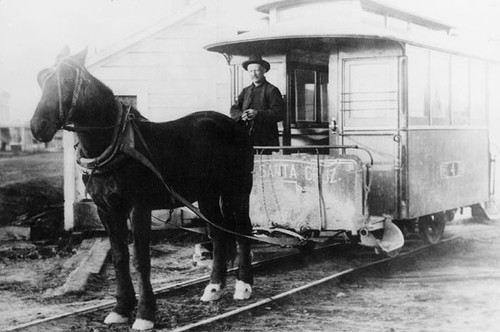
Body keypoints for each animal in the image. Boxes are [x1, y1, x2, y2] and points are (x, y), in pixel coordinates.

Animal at [29, 46, 254, 330]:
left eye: (68, 80)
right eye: (41, 79)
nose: (37, 127)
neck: (117, 145)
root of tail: (235, 125)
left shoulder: (138, 207)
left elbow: (141, 259)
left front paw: (145, 314)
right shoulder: (107, 209)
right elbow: (119, 257)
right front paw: (121, 309)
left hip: (238, 189)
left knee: (242, 230)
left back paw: (244, 286)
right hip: (208, 195)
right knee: (219, 234)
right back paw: (213, 288)